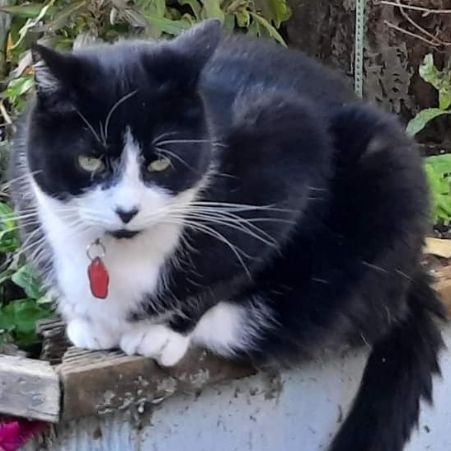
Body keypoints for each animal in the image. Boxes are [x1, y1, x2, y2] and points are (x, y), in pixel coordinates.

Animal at [10, 19, 446, 451]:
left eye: (161, 162)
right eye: (90, 161)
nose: (127, 211)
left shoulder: (287, 148)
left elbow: (233, 271)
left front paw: (164, 331)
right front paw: (85, 318)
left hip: (386, 171)